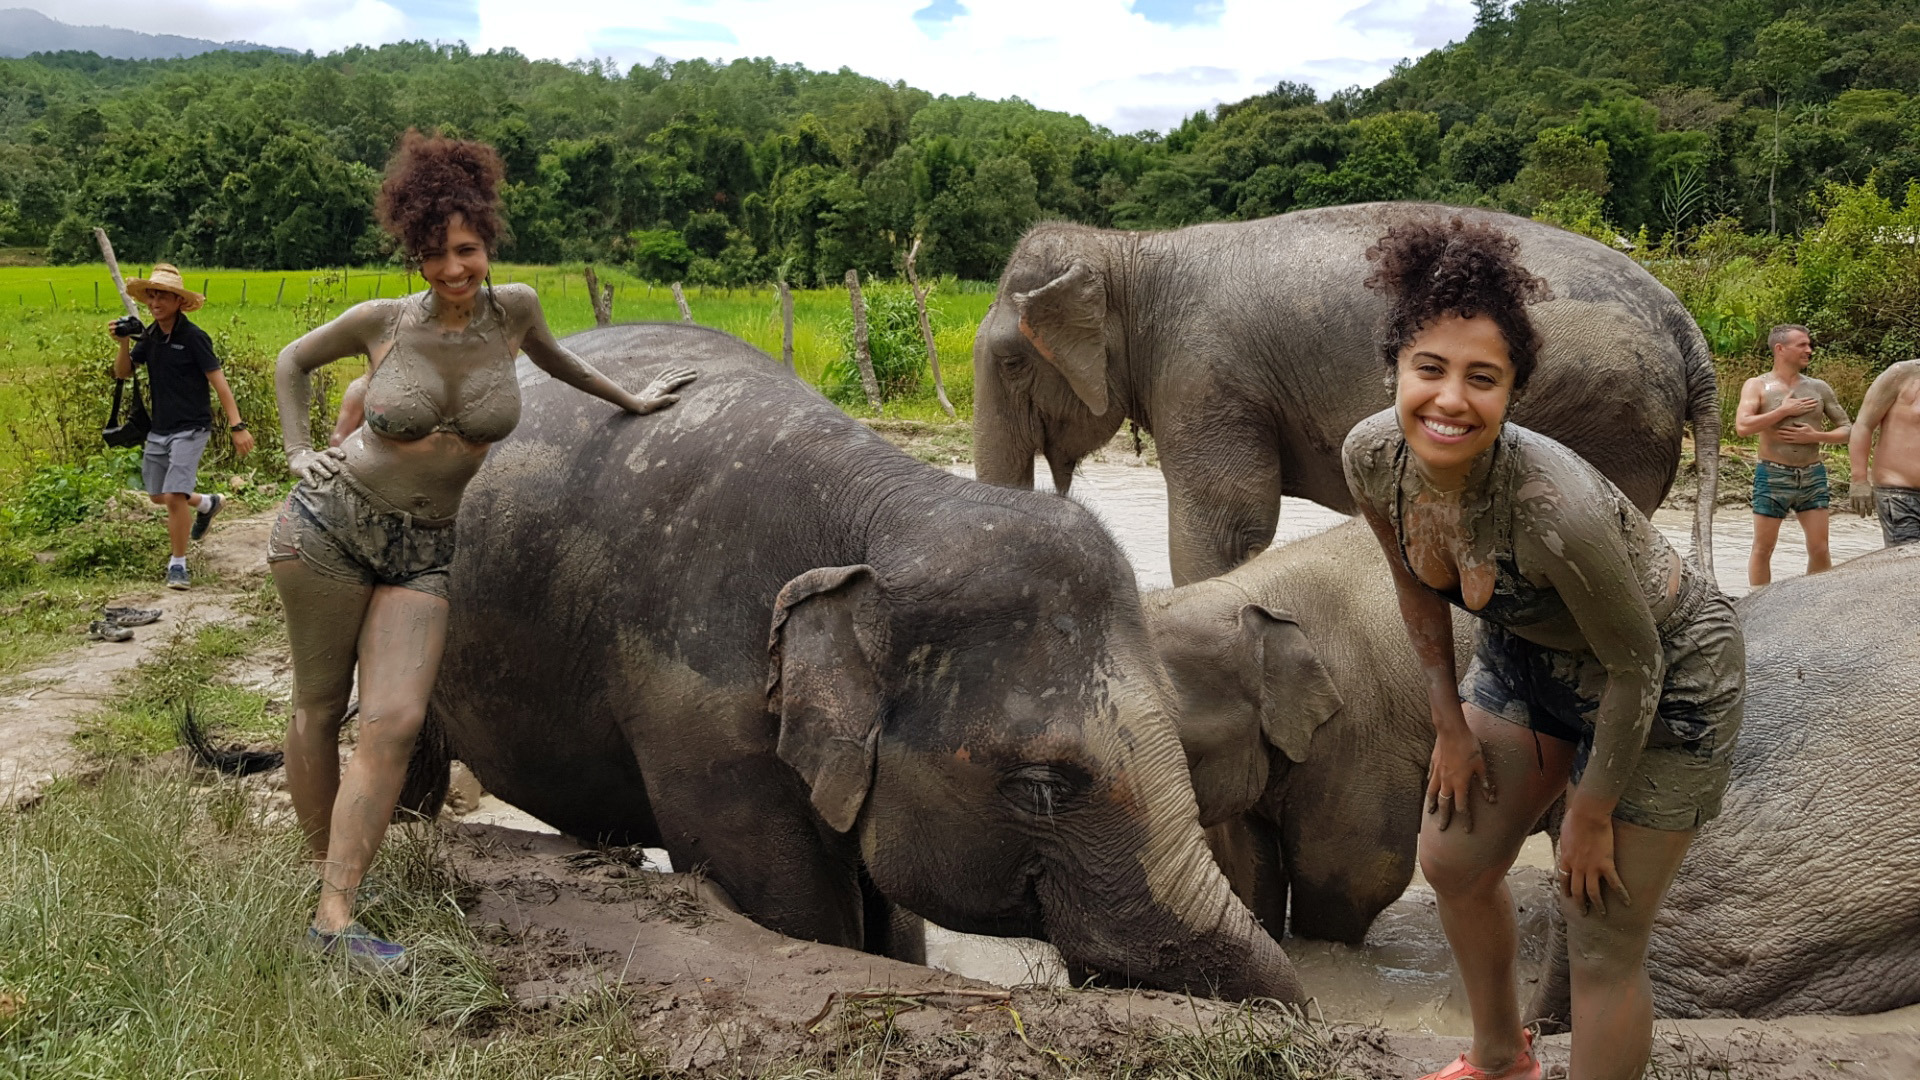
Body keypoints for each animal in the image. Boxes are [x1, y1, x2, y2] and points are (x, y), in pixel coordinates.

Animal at [967, 198, 1720, 580]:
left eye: (1010, 362)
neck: (1130, 251)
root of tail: (1683, 322)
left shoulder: (1207, 377)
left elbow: (1229, 520)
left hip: (1596, 408)